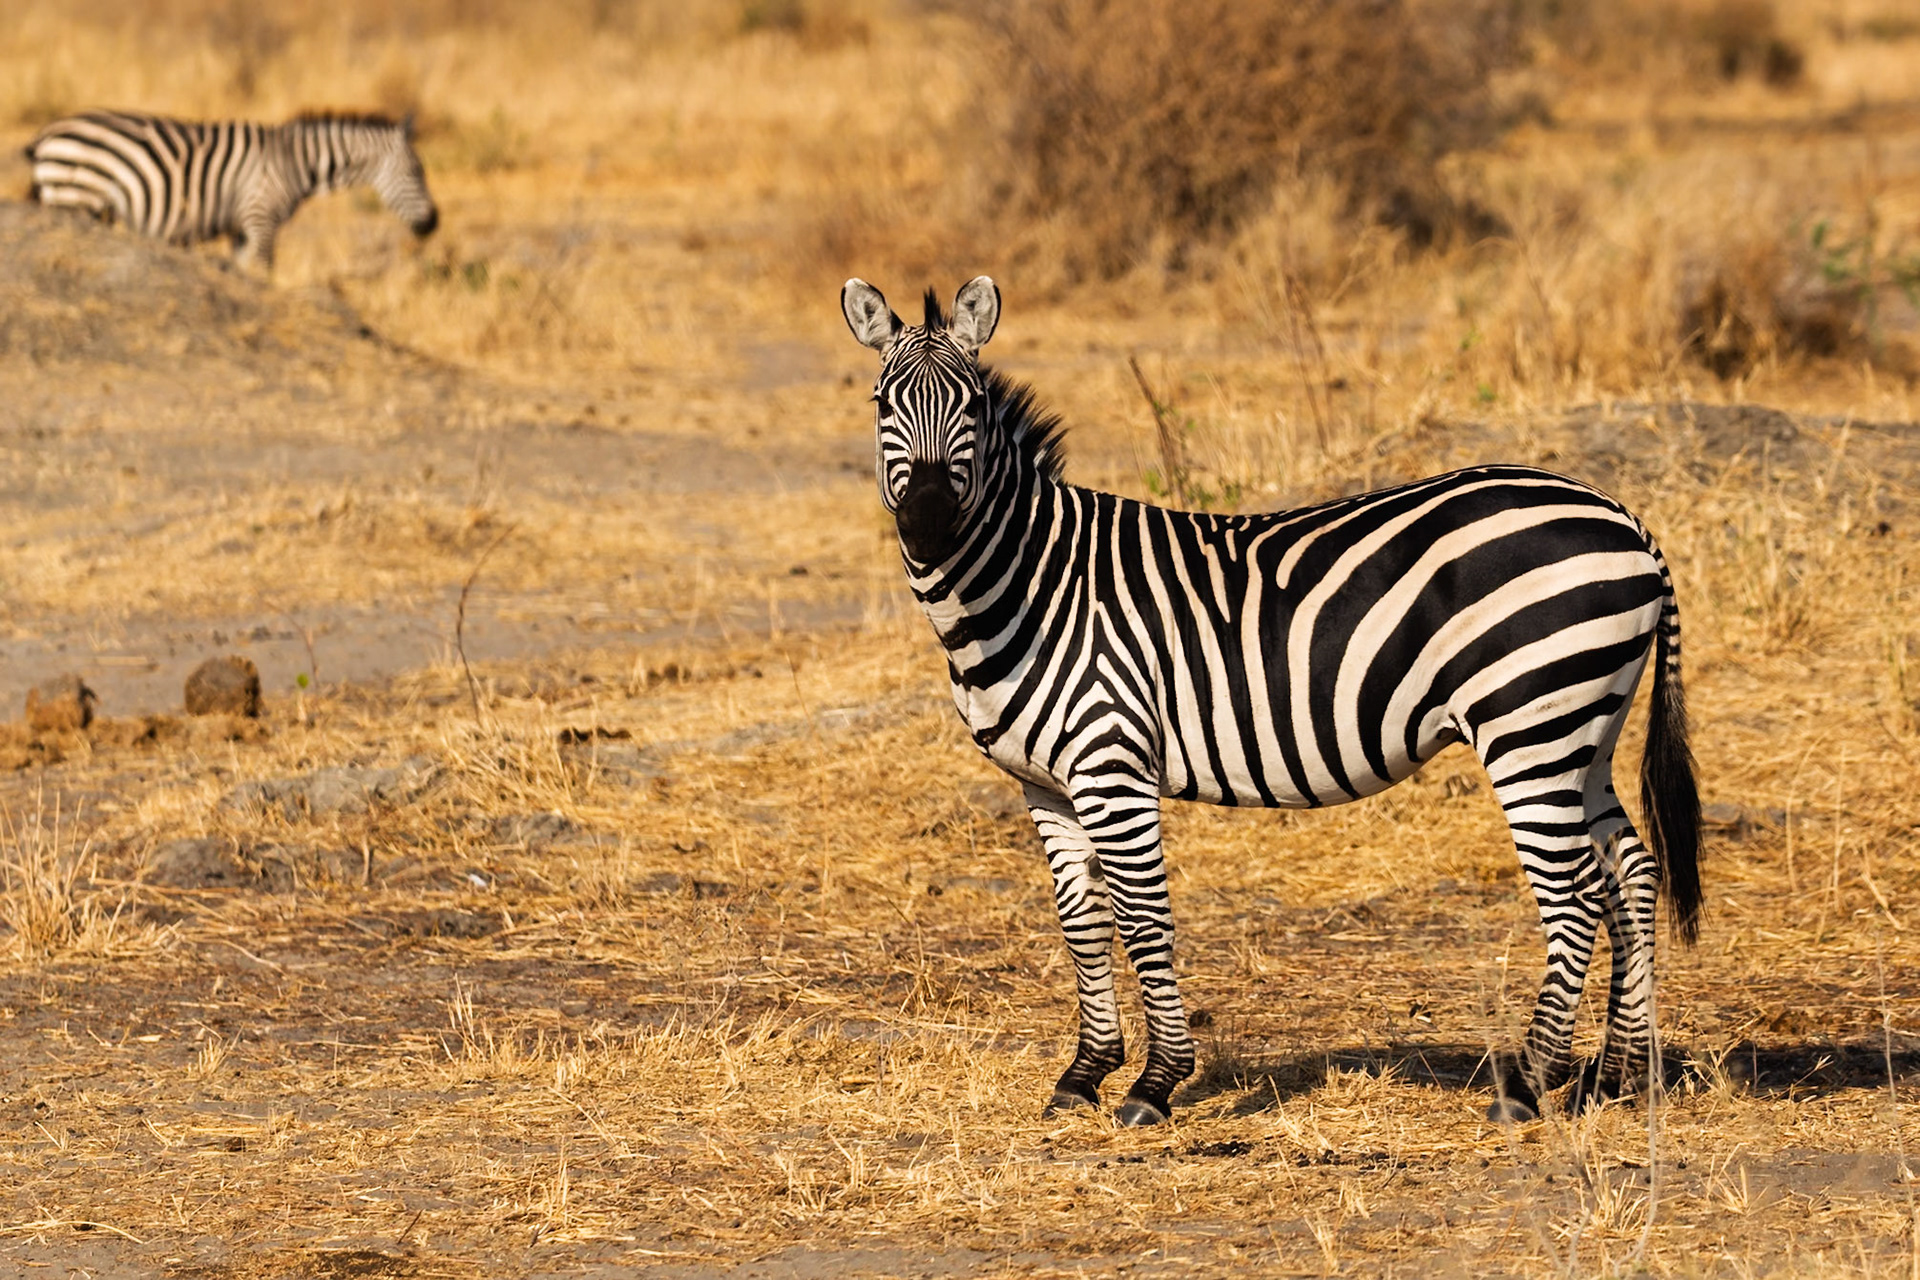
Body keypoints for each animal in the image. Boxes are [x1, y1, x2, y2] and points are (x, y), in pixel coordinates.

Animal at [26, 110, 438, 272]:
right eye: (417, 172)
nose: (434, 223)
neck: (293, 162)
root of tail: (46, 135)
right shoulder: (261, 217)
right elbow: (264, 272)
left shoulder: (243, 229)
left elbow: (245, 271)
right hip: (74, 197)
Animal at [841, 275, 1703, 1127]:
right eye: (883, 404)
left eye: (972, 406)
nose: (927, 522)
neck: (1035, 583)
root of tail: (1625, 519)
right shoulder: (1043, 782)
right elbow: (1082, 926)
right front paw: (1084, 1074)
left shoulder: (1112, 762)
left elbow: (1142, 919)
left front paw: (1155, 1083)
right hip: (1580, 728)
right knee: (1632, 873)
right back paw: (1614, 1077)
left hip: (1529, 725)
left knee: (1576, 894)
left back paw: (1528, 1084)